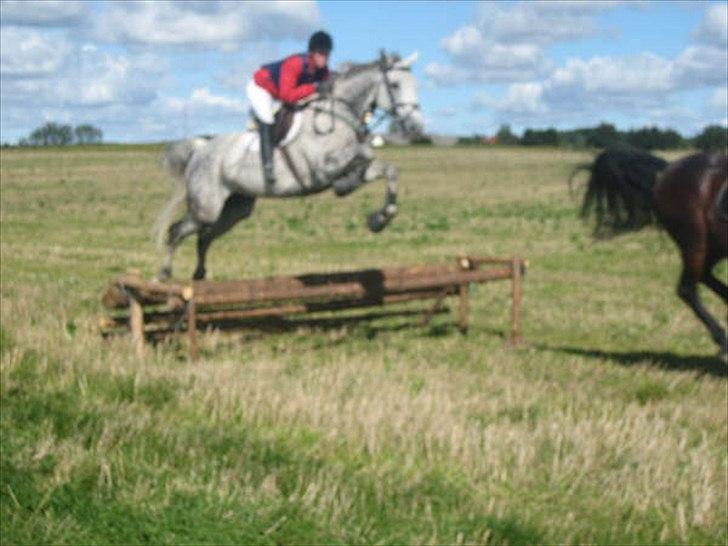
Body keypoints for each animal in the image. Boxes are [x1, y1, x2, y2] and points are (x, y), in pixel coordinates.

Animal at [156, 50, 424, 280]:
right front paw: (346, 187)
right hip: (207, 207)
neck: (336, 115)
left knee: (204, 236)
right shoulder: (321, 169)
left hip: (236, 208)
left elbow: (388, 170)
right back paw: (164, 275)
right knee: (177, 231)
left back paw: (199, 274)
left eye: (415, 85)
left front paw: (378, 219)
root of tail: (201, 149)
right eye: (396, 85)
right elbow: (364, 154)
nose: (416, 127)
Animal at [576, 147, 728, 354]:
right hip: (694, 239)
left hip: (713, 246)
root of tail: (666, 171)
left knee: (702, 276)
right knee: (687, 289)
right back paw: (722, 339)